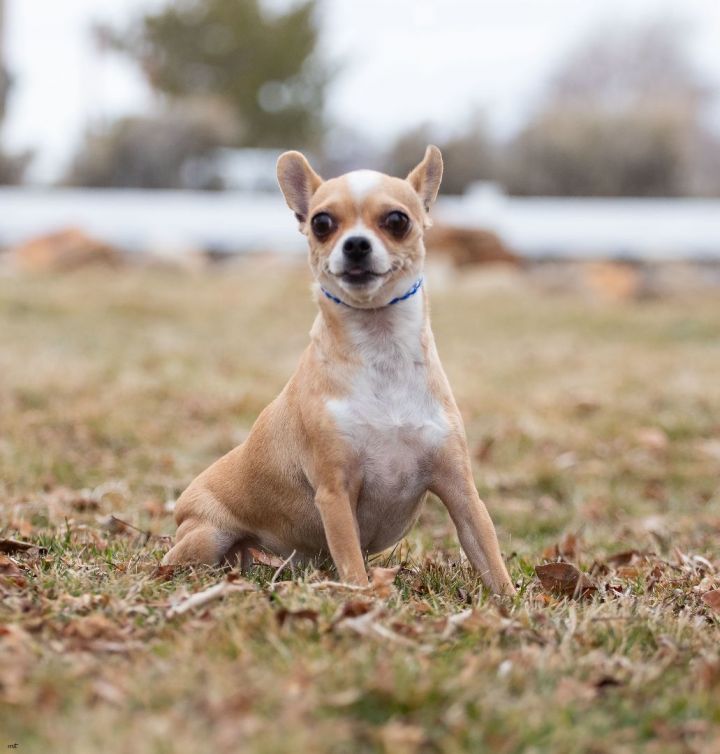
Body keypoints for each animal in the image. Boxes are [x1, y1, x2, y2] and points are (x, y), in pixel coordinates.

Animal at [163, 147, 512, 592]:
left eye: (397, 220)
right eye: (322, 223)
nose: (356, 244)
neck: (381, 349)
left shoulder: (461, 492)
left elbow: (490, 559)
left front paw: (511, 602)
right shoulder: (335, 493)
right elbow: (353, 565)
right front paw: (364, 597)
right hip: (206, 536)